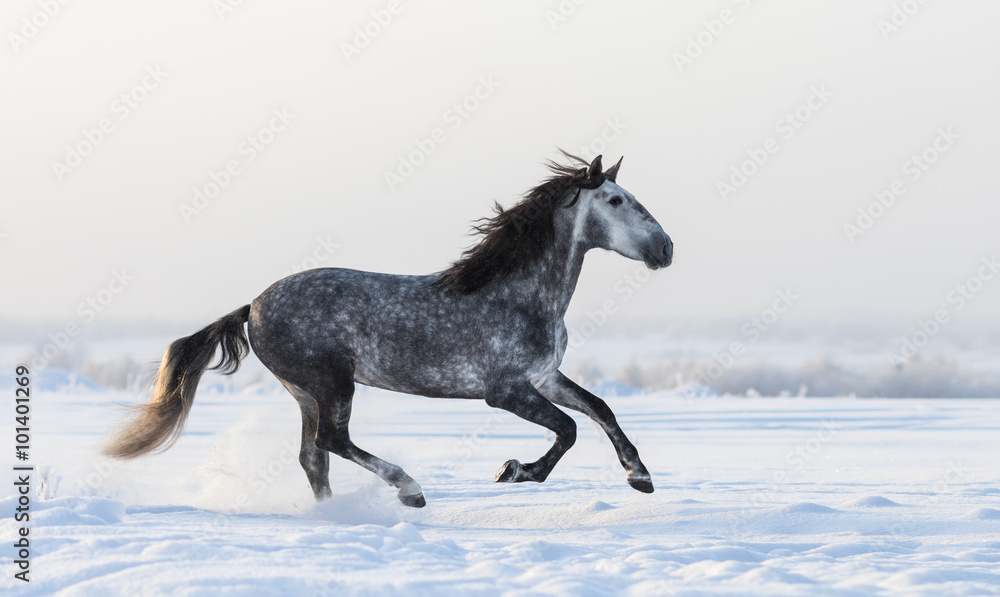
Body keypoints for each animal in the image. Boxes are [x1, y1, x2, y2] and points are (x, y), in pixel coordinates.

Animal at [103, 154, 672, 508]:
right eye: (616, 201)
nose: (665, 249)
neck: (520, 295)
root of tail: (253, 306)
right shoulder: (505, 390)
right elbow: (569, 429)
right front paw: (513, 471)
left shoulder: (544, 377)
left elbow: (599, 409)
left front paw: (640, 477)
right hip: (332, 382)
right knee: (333, 440)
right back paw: (410, 490)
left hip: (305, 391)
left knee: (313, 455)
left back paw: (335, 515)